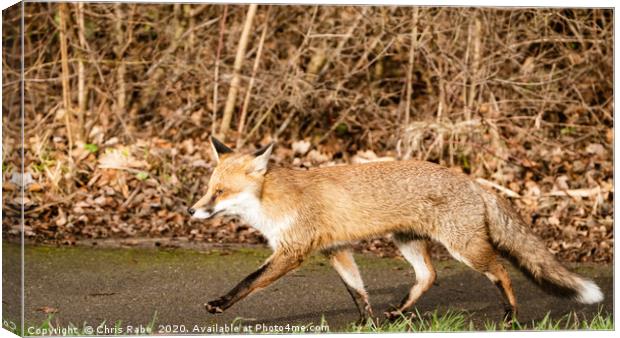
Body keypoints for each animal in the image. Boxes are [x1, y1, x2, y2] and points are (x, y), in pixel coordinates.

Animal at [188, 137, 600, 322]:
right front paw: (366, 322)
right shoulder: (336, 250)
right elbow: (357, 290)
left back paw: (511, 316)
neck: (274, 202)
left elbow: (248, 281)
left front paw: (220, 304)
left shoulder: (293, 251)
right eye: (209, 188)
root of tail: (472, 181)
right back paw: (398, 312)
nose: (192, 210)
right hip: (407, 243)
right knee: (429, 276)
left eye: (219, 192)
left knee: (501, 270)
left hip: (464, 248)